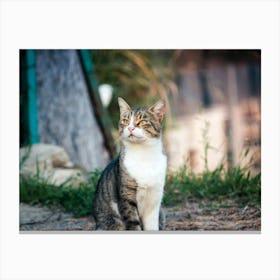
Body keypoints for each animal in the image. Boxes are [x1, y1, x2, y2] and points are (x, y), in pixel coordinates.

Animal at [92, 97, 166, 231]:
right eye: (125, 121)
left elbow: (152, 227)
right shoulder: (126, 197)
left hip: (161, 213)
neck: (144, 155)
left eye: (142, 121)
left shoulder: (154, 200)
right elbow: (133, 224)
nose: (130, 128)